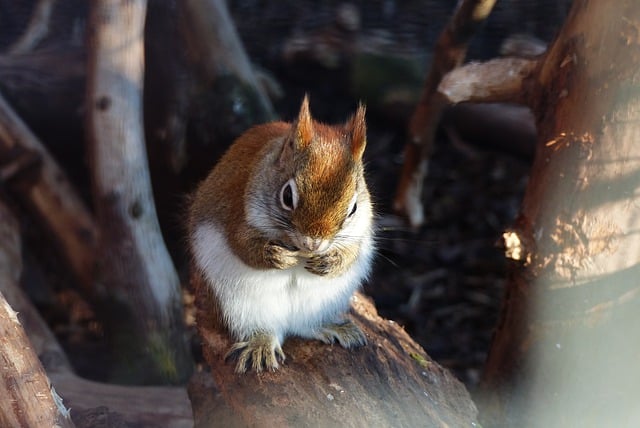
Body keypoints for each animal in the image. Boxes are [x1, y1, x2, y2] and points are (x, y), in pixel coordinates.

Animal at [186, 95, 376, 372]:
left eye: (353, 208)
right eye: (287, 195)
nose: (313, 243)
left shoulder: (361, 229)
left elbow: (351, 252)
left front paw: (330, 261)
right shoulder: (236, 215)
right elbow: (244, 246)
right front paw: (279, 257)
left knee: (305, 326)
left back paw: (330, 326)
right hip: (241, 304)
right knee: (261, 327)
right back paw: (260, 344)